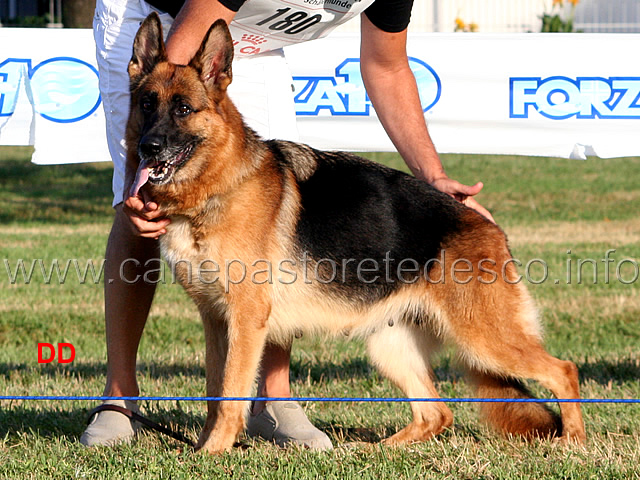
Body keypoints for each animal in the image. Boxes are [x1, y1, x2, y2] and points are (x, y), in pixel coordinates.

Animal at [124, 13, 584, 452]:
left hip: (485, 339)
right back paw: (377, 449)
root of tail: (487, 226)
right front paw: (205, 446)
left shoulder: (245, 320)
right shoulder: (216, 321)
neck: (216, 186)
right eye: (147, 104)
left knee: (564, 370)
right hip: (391, 346)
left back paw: (573, 442)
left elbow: (230, 393)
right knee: (436, 414)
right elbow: (214, 392)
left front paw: (213, 452)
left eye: (184, 109)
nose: (149, 148)